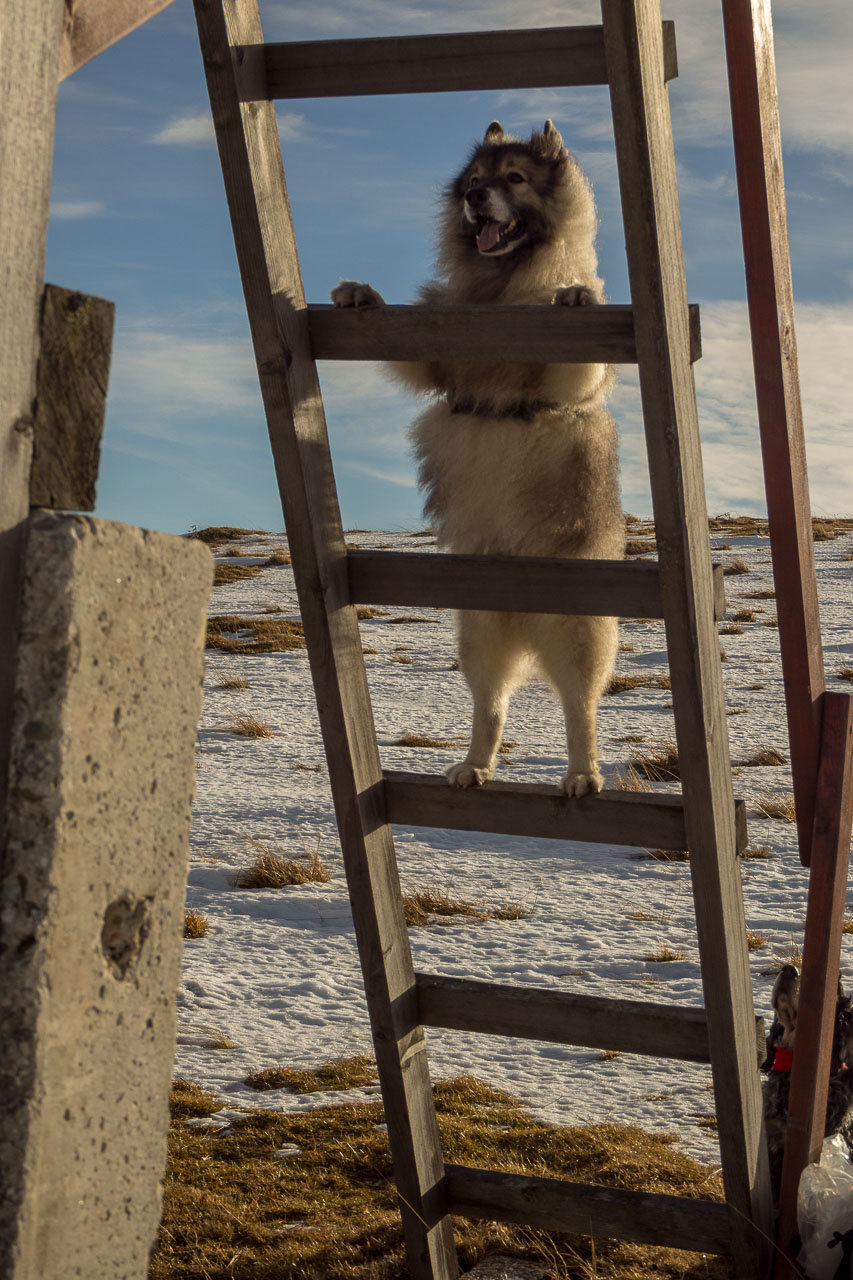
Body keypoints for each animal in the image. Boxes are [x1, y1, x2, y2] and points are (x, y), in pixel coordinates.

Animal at [333, 122, 625, 798]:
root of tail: (521, 609)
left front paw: (577, 295)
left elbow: (575, 354)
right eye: (472, 181)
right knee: (490, 705)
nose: (474, 198)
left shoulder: (565, 380)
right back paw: (474, 765)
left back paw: (582, 774)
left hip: (577, 632)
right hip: (478, 634)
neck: (501, 291)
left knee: (580, 708)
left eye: (514, 179)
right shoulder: (437, 360)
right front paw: (363, 296)